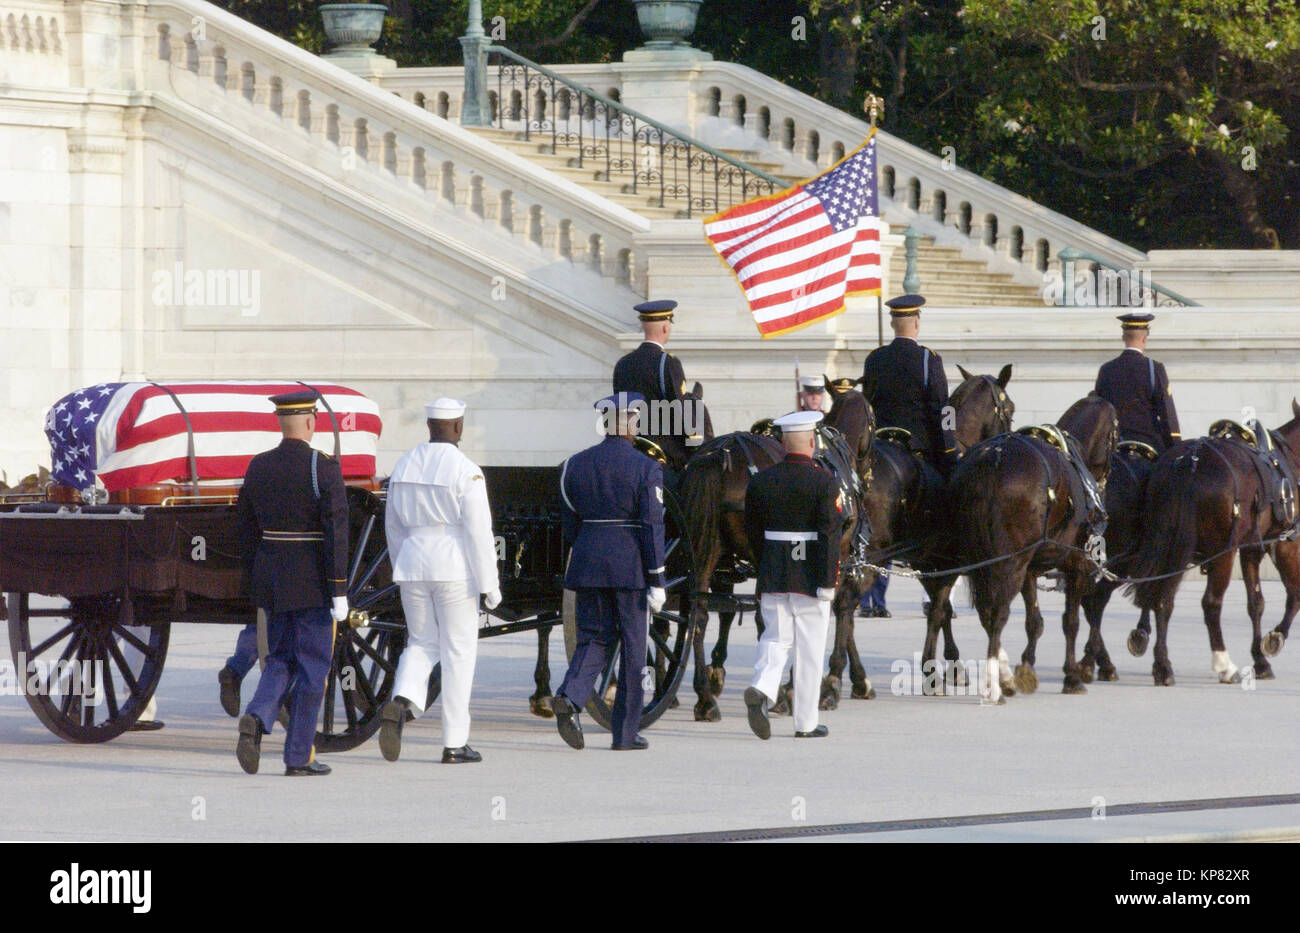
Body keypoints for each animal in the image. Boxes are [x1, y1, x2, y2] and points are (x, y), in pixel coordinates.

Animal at [1128, 402, 1300, 686]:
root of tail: (1190, 461)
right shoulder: (1282, 543)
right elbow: (1293, 594)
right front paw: (1274, 639)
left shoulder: (1251, 548)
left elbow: (1256, 603)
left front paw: (1260, 658)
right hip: (1221, 553)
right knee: (1210, 603)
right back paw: (1223, 664)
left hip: (1170, 547)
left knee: (1162, 597)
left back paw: (1162, 664)